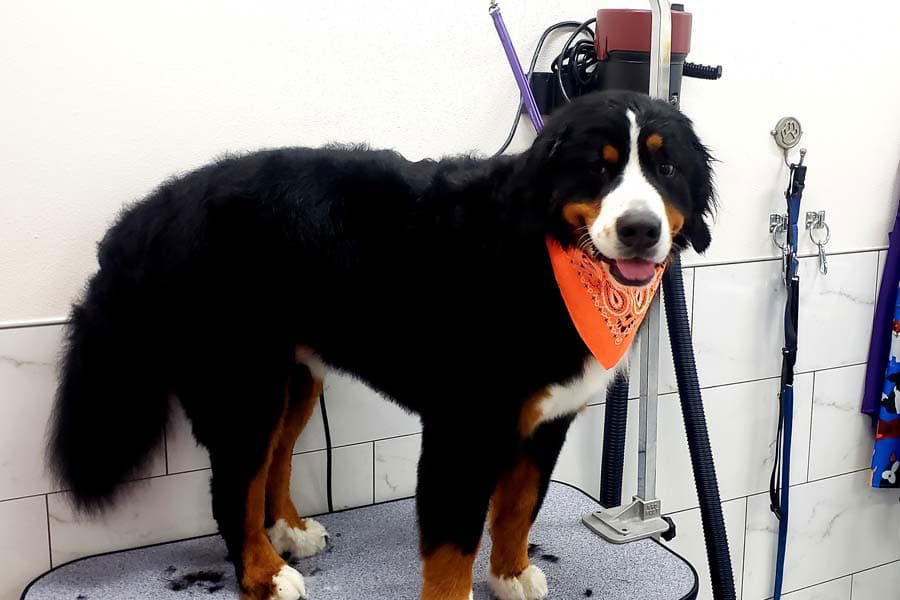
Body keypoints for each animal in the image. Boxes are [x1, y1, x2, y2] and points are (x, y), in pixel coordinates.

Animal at [47, 90, 712, 600]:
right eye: (597, 168)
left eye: (667, 170)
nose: (640, 229)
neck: (546, 259)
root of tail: (152, 211)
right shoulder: (464, 427)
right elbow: (452, 543)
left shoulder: (546, 420)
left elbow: (520, 506)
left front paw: (510, 575)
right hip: (241, 382)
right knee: (232, 489)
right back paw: (264, 575)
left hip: (292, 379)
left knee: (272, 464)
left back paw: (288, 534)